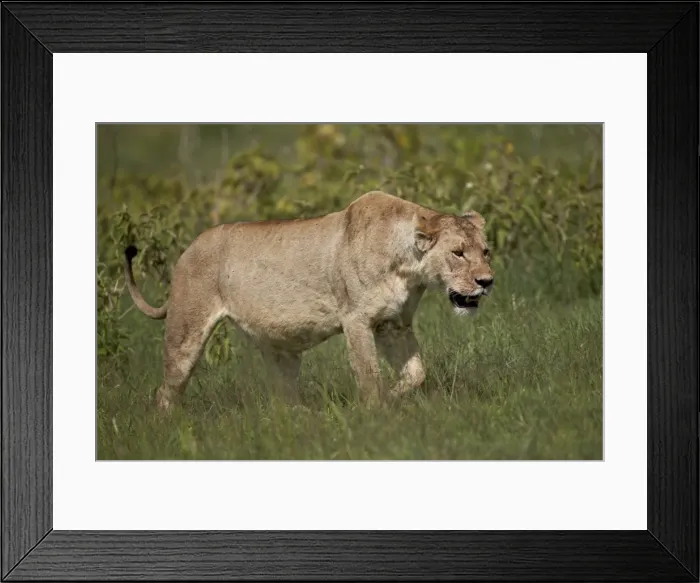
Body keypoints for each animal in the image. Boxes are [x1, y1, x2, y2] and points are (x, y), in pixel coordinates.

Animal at [124, 190, 494, 410]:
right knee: (166, 390)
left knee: (283, 398)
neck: (408, 267)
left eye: (485, 251)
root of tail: (189, 248)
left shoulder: (394, 324)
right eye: (458, 253)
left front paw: (394, 395)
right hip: (186, 332)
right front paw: (376, 413)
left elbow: (416, 371)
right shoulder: (356, 319)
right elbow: (368, 374)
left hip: (280, 352)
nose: (487, 282)